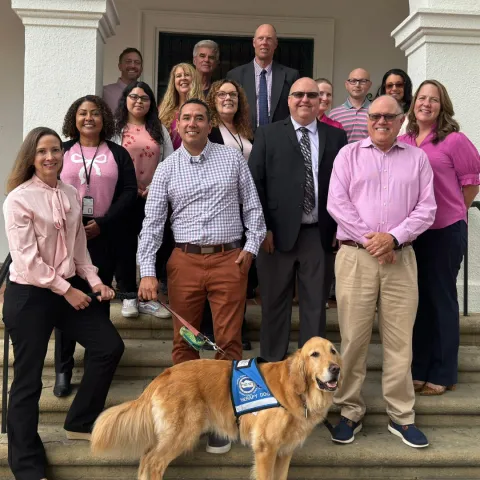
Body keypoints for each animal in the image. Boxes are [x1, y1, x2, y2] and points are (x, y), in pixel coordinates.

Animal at [91, 338, 342, 480]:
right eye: (314, 354)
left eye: (333, 351)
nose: (336, 369)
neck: (296, 389)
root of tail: (164, 374)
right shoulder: (266, 448)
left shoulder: (284, 451)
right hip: (182, 433)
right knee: (153, 462)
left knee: (145, 459)